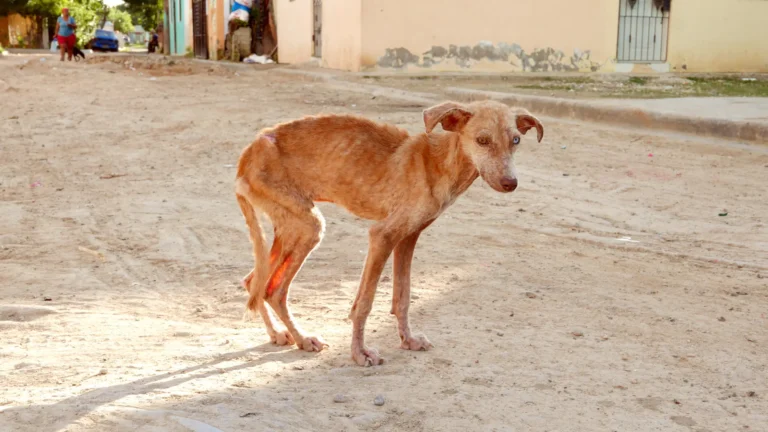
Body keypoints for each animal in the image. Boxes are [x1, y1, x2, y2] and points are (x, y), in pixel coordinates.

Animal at [237, 100, 544, 364]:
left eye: (516, 140)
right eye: (482, 140)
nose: (510, 183)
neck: (437, 163)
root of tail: (248, 152)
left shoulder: (408, 237)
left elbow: (403, 297)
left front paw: (408, 340)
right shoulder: (382, 236)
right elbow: (364, 303)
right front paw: (359, 354)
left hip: (290, 226)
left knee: (254, 282)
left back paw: (277, 334)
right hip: (309, 227)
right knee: (273, 290)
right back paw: (302, 339)